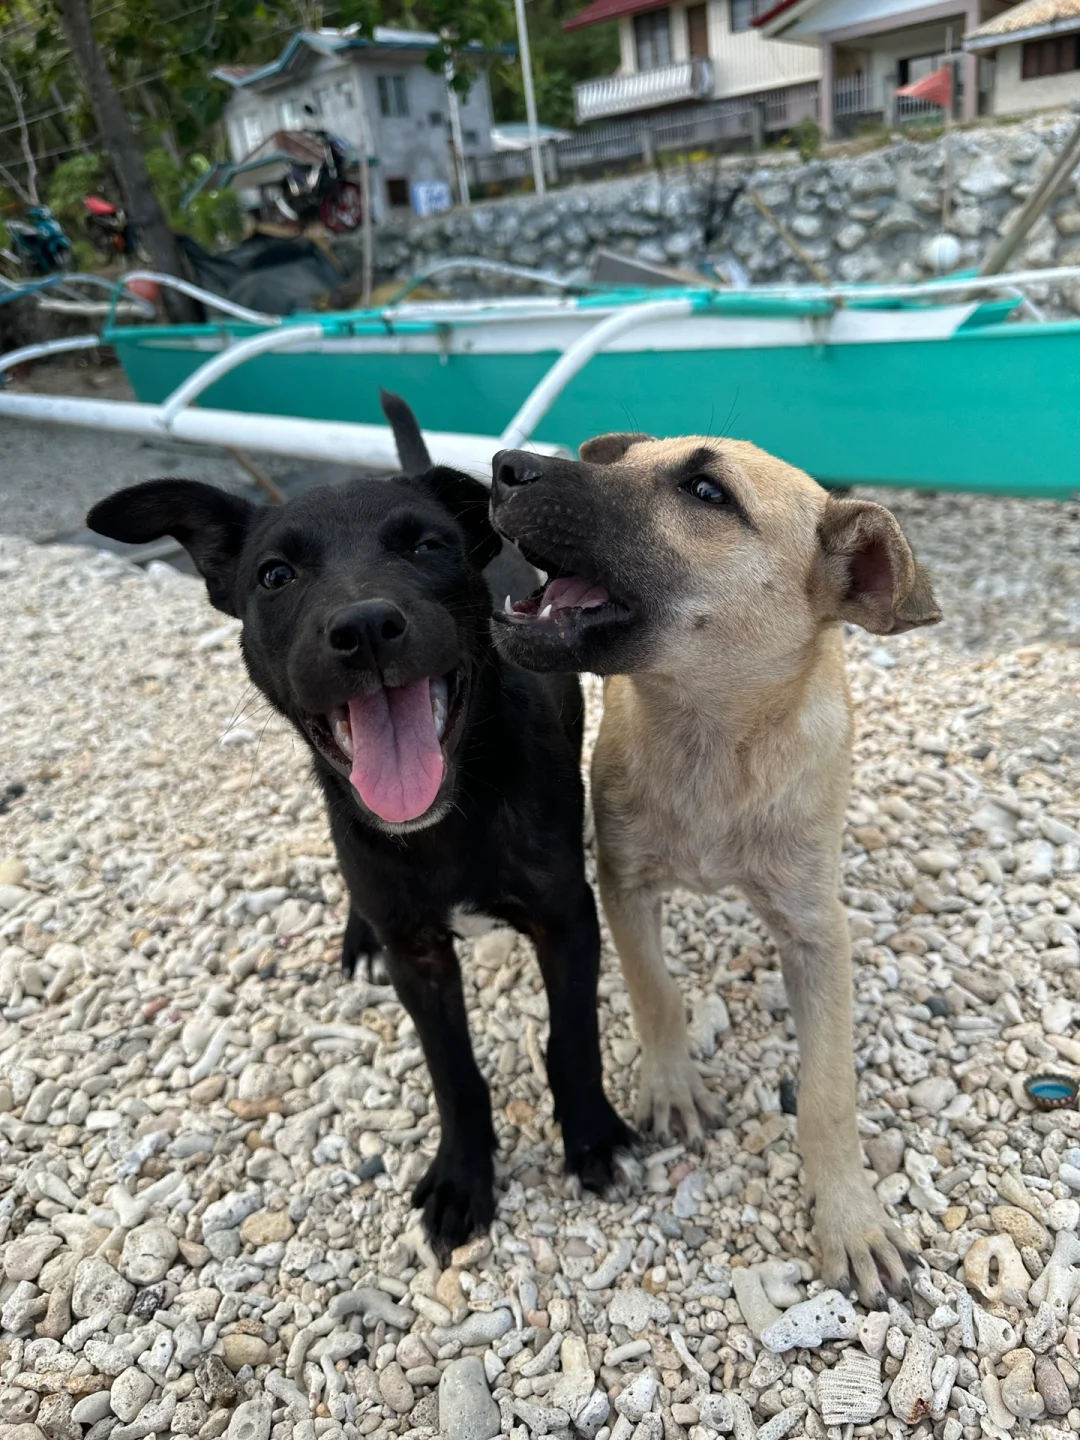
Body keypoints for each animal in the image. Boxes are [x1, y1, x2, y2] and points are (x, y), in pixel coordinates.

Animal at [86, 403, 633, 1249]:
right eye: (275, 575)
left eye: (427, 545)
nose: (369, 626)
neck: (452, 816)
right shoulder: (419, 955)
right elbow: (453, 1072)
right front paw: (464, 1177)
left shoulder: (566, 920)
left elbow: (572, 1039)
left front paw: (591, 1139)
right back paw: (358, 937)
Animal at [486, 434, 944, 1307]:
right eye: (618, 457)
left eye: (707, 491)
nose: (502, 466)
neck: (710, 742)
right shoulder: (624, 885)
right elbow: (656, 994)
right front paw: (671, 1087)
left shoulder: (817, 934)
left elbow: (828, 1093)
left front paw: (851, 1217)